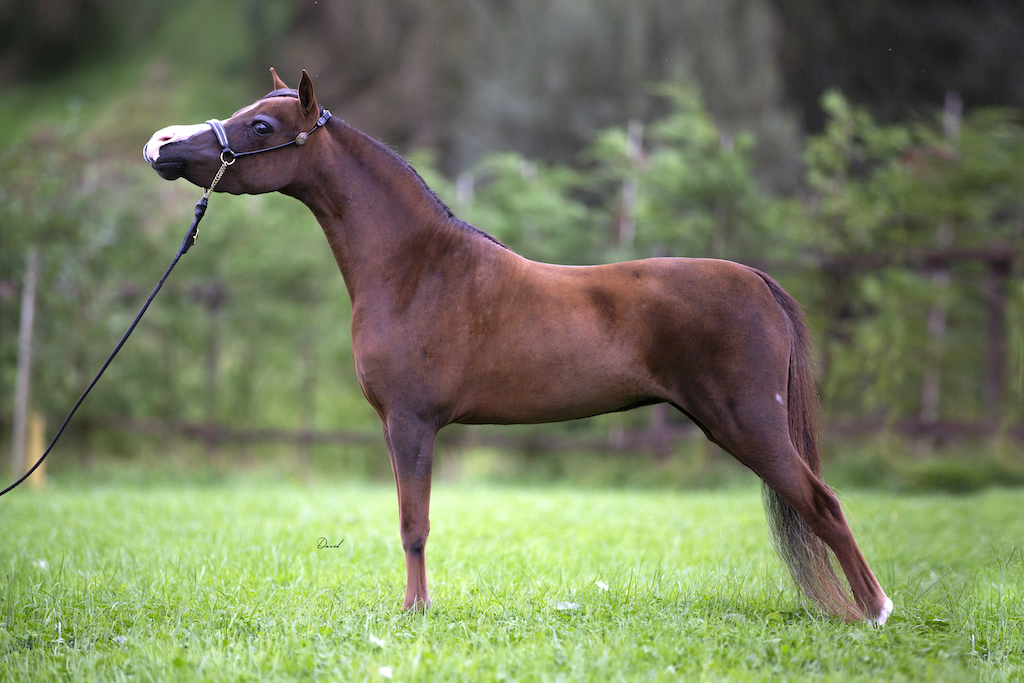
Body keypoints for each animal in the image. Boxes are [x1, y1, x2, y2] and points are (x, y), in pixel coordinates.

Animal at [144, 69, 893, 625]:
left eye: (261, 127)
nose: (165, 149)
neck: (415, 268)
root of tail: (758, 281)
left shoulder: (411, 423)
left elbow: (413, 522)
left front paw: (414, 612)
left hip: (751, 424)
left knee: (825, 503)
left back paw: (876, 610)